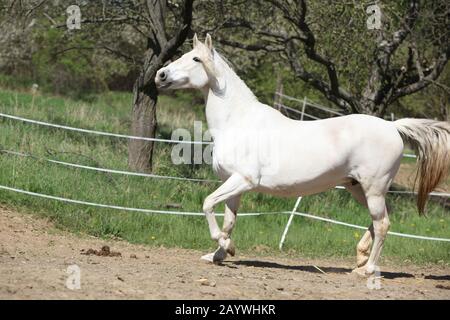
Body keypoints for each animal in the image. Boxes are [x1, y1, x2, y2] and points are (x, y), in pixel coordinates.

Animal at [154, 34, 446, 276]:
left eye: (195, 59)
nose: (160, 75)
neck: (237, 122)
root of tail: (392, 126)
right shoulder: (233, 185)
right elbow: (228, 221)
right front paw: (220, 254)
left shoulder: (243, 180)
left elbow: (207, 204)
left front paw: (222, 245)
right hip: (358, 188)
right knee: (380, 221)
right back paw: (360, 258)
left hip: (373, 188)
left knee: (383, 223)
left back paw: (368, 269)